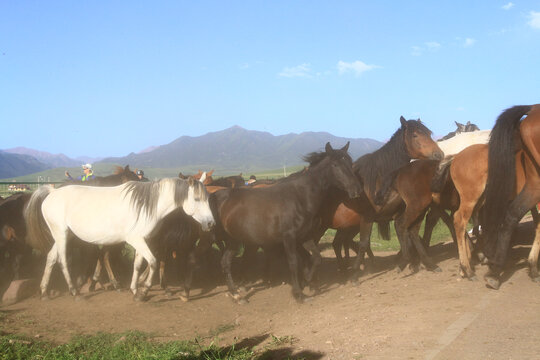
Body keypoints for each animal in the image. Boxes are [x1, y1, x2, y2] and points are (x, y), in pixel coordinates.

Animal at [24, 177, 215, 300]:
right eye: (197, 199)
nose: (211, 223)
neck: (146, 206)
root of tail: (52, 191)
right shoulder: (136, 239)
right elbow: (153, 262)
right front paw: (144, 292)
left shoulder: (142, 240)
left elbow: (138, 265)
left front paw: (134, 291)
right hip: (61, 234)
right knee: (62, 260)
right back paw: (74, 292)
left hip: (63, 235)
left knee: (51, 258)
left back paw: (44, 292)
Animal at [211, 142, 362, 302]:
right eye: (335, 164)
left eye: (350, 162)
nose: (357, 189)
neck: (299, 197)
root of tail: (218, 196)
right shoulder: (289, 238)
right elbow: (294, 263)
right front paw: (299, 294)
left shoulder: (304, 236)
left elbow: (316, 258)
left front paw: (308, 280)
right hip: (232, 241)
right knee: (227, 262)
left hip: (234, 241)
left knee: (226, 262)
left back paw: (237, 295)